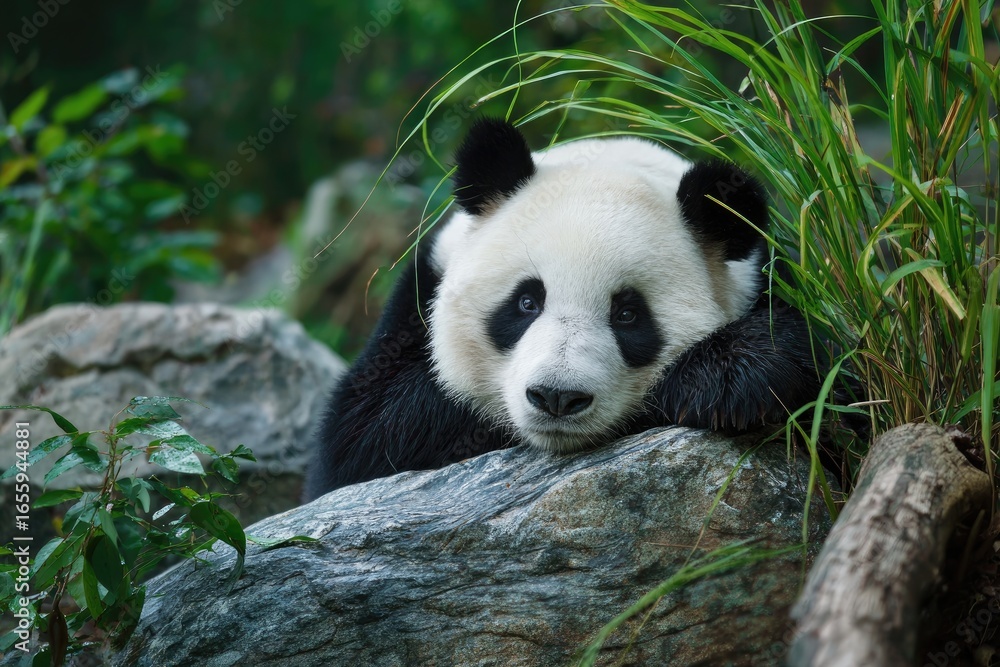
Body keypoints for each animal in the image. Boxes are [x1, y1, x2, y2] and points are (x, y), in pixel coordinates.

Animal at [303, 118, 820, 501]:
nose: (556, 397)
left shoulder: (769, 274)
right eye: (527, 302)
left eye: (627, 314)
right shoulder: (417, 296)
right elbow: (367, 435)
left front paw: (736, 376)